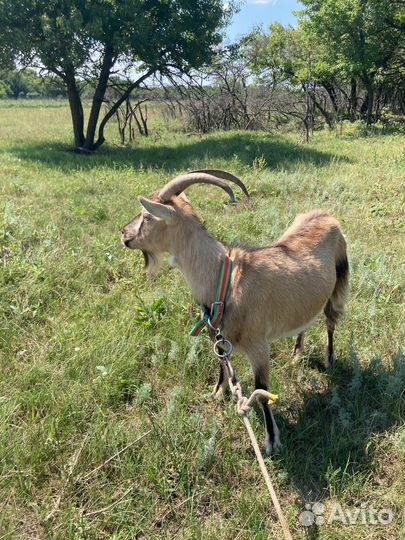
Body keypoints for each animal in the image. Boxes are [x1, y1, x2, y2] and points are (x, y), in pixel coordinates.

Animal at [120, 170, 348, 456]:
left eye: (148, 216)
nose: (123, 233)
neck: (226, 281)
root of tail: (327, 216)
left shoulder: (259, 345)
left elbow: (261, 390)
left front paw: (272, 441)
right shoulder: (219, 338)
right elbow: (222, 365)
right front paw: (218, 394)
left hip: (339, 280)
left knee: (330, 322)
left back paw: (329, 359)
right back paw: (296, 355)